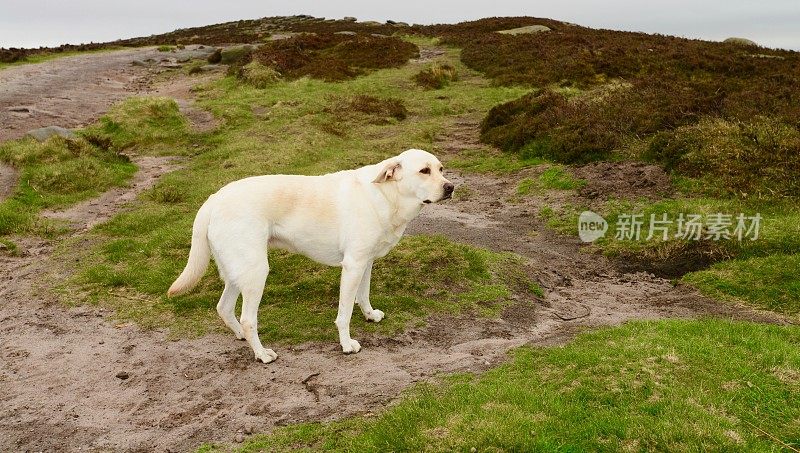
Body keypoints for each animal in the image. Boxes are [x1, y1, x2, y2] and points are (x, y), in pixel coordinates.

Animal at [166, 150, 454, 362]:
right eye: (424, 171)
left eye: (441, 169)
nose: (451, 187)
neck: (386, 194)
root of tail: (213, 199)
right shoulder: (353, 265)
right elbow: (344, 313)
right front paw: (346, 344)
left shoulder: (365, 263)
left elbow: (363, 295)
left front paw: (370, 315)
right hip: (256, 271)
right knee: (248, 319)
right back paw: (261, 354)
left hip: (239, 272)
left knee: (224, 308)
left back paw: (243, 339)